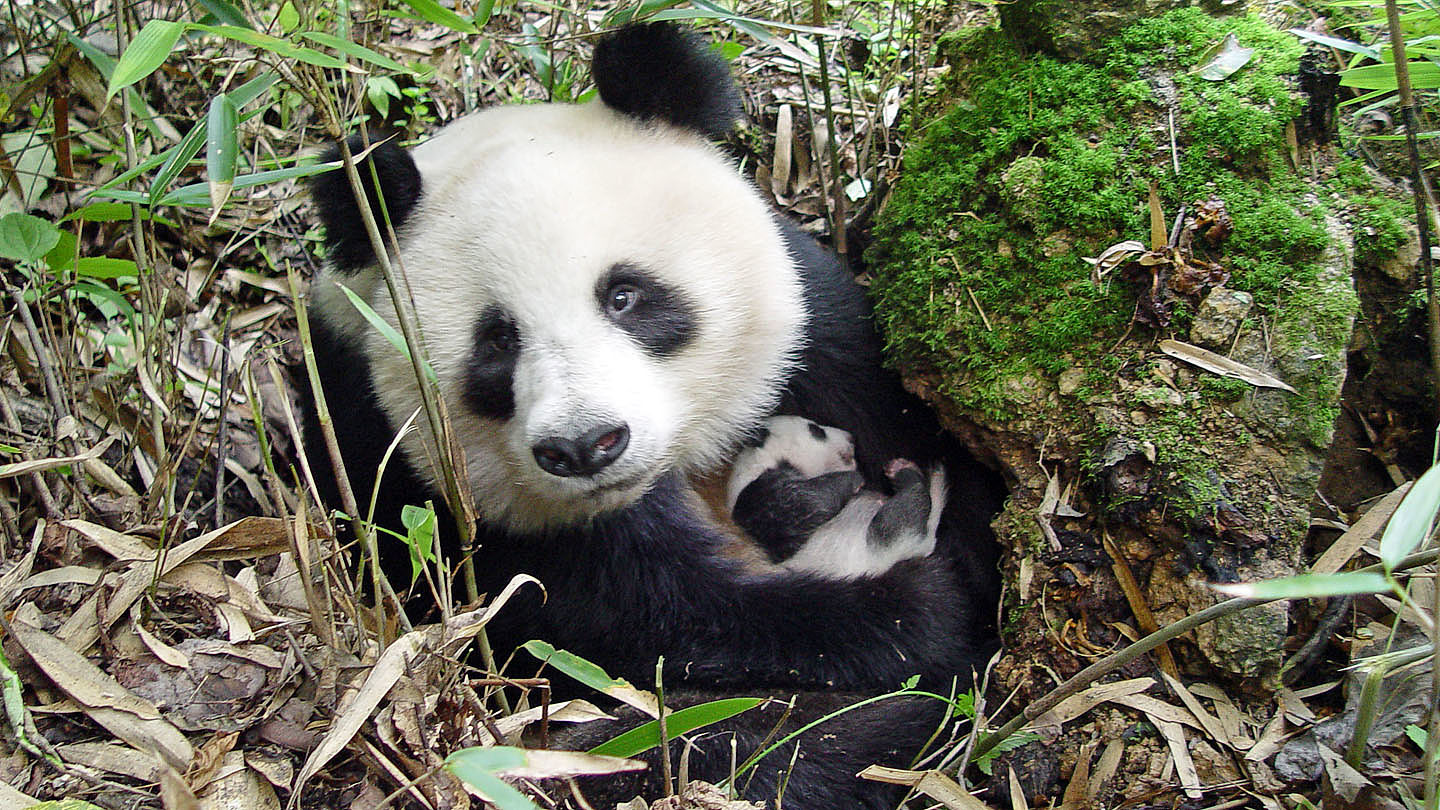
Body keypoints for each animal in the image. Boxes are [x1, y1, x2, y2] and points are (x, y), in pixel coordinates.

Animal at [303, 22, 1002, 801]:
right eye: (497, 340)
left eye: (625, 296)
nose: (586, 446)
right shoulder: (427, 482)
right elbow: (663, 624)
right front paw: (912, 612)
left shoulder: (815, 336)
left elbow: (900, 416)